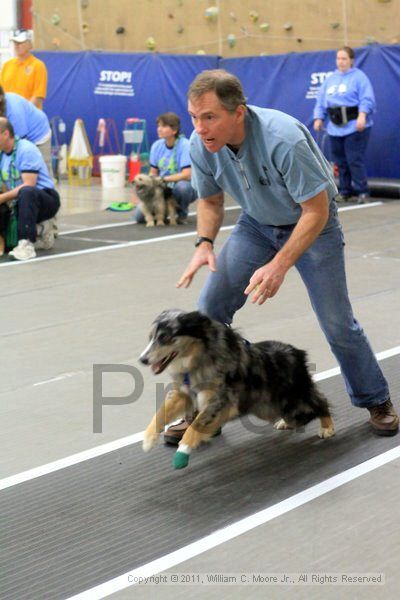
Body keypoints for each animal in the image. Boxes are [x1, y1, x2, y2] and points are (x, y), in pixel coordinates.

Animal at [139, 310, 332, 468]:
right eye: (150, 338)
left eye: (164, 337)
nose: (142, 359)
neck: (198, 358)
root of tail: (297, 353)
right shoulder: (183, 394)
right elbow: (161, 412)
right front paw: (148, 441)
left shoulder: (219, 401)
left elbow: (195, 426)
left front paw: (183, 451)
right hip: (266, 408)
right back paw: (285, 423)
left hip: (292, 402)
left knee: (320, 401)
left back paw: (327, 428)